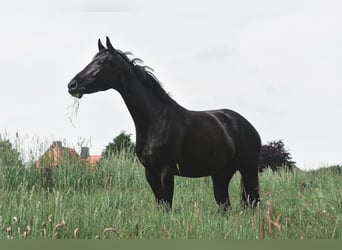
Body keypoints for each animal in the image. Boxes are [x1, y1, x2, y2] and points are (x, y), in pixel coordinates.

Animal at [69, 36, 262, 209]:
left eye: (103, 62)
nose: (72, 85)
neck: (155, 121)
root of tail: (248, 126)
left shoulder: (166, 171)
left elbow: (167, 205)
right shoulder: (150, 172)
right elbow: (160, 204)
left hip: (249, 170)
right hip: (221, 174)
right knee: (225, 205)